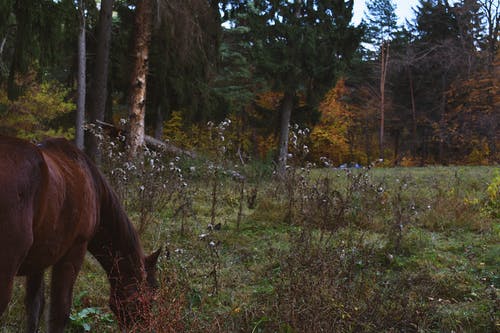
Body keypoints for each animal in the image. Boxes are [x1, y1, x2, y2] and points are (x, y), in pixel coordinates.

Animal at [0, 134, 160, 330]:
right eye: (150, 298)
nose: (145, 326)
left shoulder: (38, 260)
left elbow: (35, 308)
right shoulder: (75, 250)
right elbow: (59, 313)